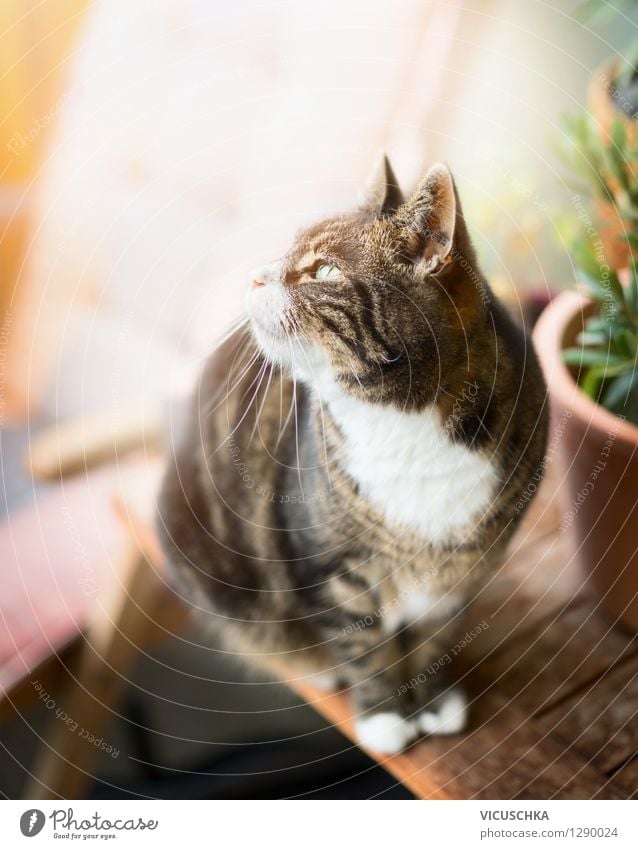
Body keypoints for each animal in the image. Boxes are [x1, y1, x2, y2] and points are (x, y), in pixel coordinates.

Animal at [159, 156, 552, 752]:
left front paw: (432, 700)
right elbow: (363, 645)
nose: (255, 274)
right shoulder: (330, 567)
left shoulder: (468, 564)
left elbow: (437, 637)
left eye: (324, 272)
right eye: (285, 251)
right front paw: (385, 716)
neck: (403, 421)